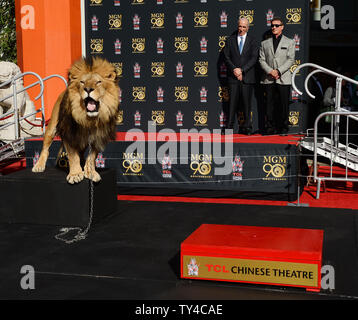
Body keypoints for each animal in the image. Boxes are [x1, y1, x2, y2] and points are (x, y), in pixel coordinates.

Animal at [32, 56, 119, 184]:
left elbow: (92, 157)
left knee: (82, 153)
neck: (89, 119)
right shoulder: (69, 133)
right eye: (82, 82)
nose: (88, 89)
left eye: (98, 82)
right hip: (51, 128)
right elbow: (73, 156)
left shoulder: (98, 136)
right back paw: (39, 165)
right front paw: (75, 174)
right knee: (45, 148)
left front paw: (90, 172)